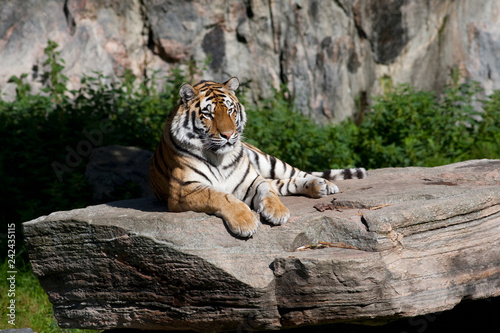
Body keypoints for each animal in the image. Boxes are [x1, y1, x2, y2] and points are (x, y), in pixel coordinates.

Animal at [148, 77, 368, 236]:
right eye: (208, 114)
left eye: (230, 110)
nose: (228, 135)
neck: (218, 157)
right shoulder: (183, 189)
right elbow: (220, 196)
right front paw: (245, 221)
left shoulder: (251, 180)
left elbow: (268, 191)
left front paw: (278, 212)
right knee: (280, 184)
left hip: (269, 161)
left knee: (292, 174)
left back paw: (324, 184)